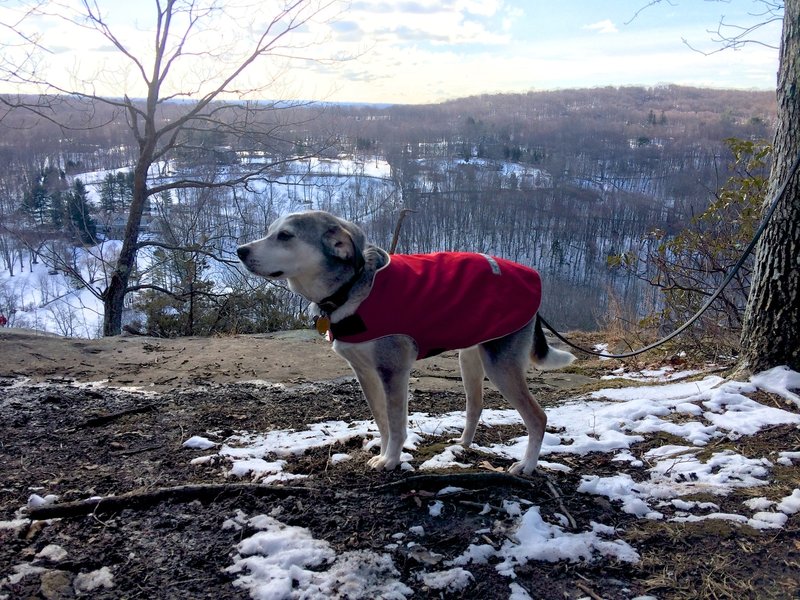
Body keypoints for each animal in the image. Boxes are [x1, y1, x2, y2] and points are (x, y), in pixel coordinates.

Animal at [238, 210, 576, 474]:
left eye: (285, 235)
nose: (240, 250)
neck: (351, 288)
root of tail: (532, 277)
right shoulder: (365, 373)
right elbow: (382, 421)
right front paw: (383, 454)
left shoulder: (393, 372)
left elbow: (397, 422)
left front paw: (391, 461)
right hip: (470, 358)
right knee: (475, 406)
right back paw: (463, 444)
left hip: (500, 365)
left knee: (537, 417)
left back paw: (527, 466)